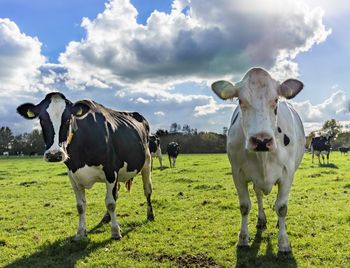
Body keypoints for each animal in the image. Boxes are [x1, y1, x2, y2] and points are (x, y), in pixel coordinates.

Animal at [16, 92, 153, 241]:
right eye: (41, 119)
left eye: (68, 119)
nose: (54, 155)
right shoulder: (73, 176)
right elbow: (80, 206)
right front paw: (80, 232)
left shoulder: (111, 171)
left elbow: (110, 203)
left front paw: (115, 232)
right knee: (116, 193)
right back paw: (105, 219)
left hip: (147, 162)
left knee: (147, 190)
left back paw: (150, 215)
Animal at [211, 67, 306, 253]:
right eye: (240, 100)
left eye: (275, 100)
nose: (261, 140)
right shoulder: (237, 173)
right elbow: (244, 206)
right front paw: (242, 239)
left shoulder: (287, 174)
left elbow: (282, 207)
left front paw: (284, 242)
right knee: (259, 194)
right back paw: (261, 220)